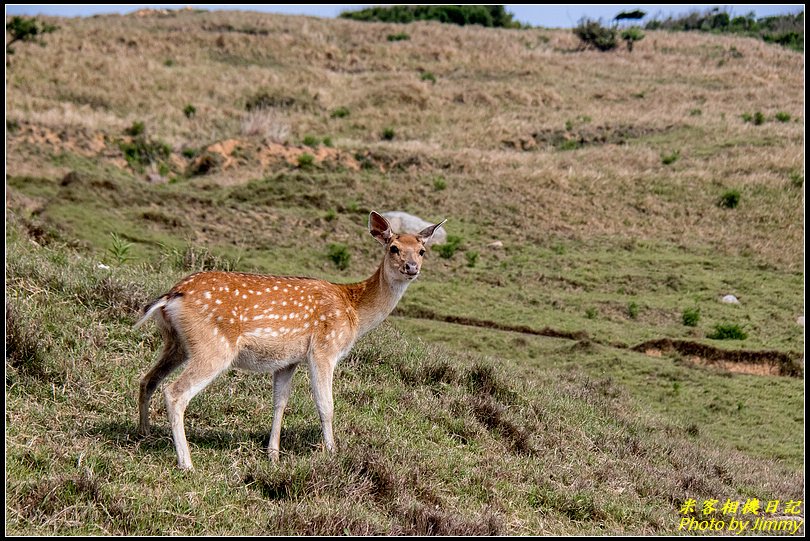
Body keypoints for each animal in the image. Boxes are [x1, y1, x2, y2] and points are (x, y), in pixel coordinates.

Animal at [135, 210, 446, 468]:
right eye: (394, 248)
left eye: (422, 250)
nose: (411, 267)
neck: (353, 311)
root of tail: (170, 297)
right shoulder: (323, 349)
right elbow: (326, 405)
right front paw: (332, 452)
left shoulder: (288, 360)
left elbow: (280, 402)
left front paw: (273, 454)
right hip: (213, 346)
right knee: (174, 392)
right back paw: (186, 463)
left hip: (176, 343)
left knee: (147, 379)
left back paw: (143, 434)